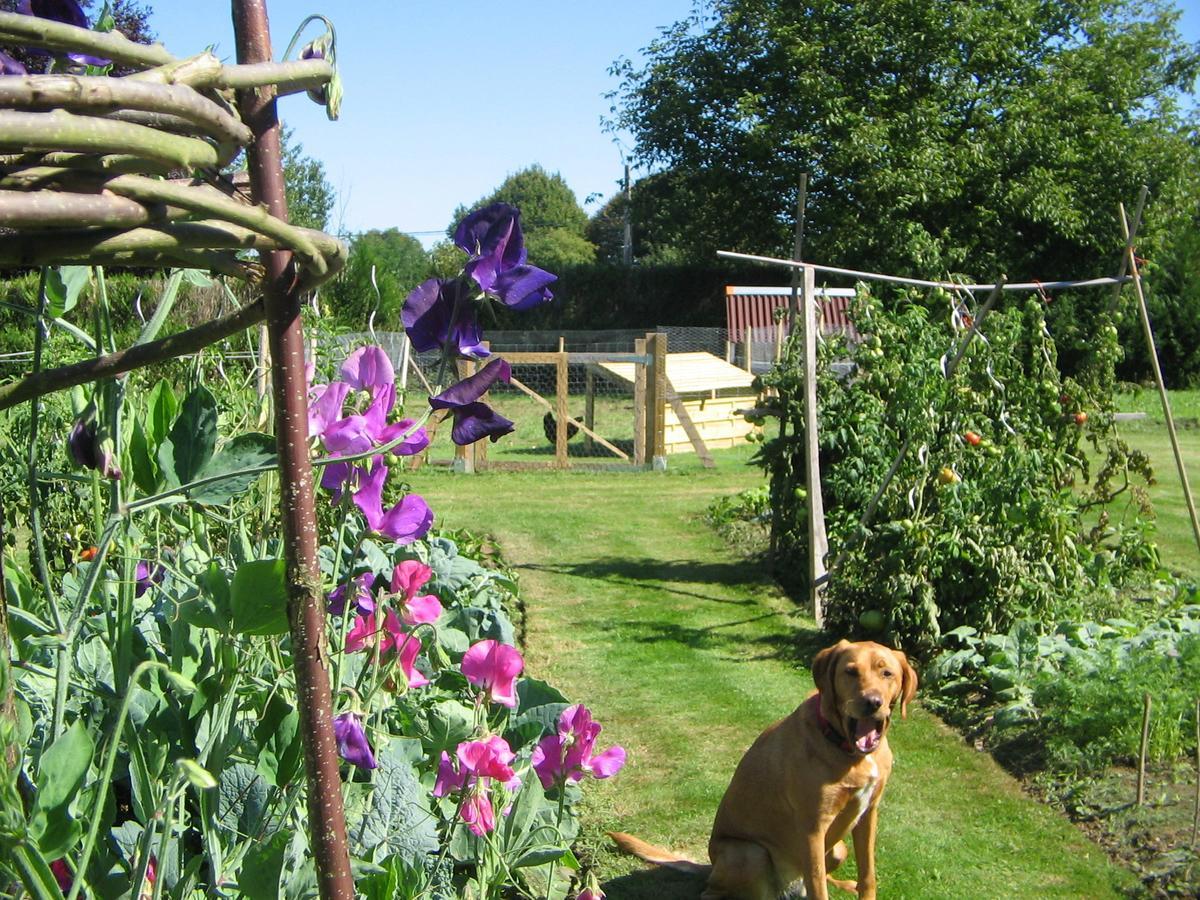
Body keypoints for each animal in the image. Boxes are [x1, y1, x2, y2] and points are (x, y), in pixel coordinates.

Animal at [614, 643, 912, 900]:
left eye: (887, 673)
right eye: (850, 672)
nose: (872, 702)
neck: (846, 749)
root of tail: (711, 867)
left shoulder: (868, 813)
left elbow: (867, 875)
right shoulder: (813, 827)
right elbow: (818, 886)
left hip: (838, 849)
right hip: (750, 855)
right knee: (718, 892)